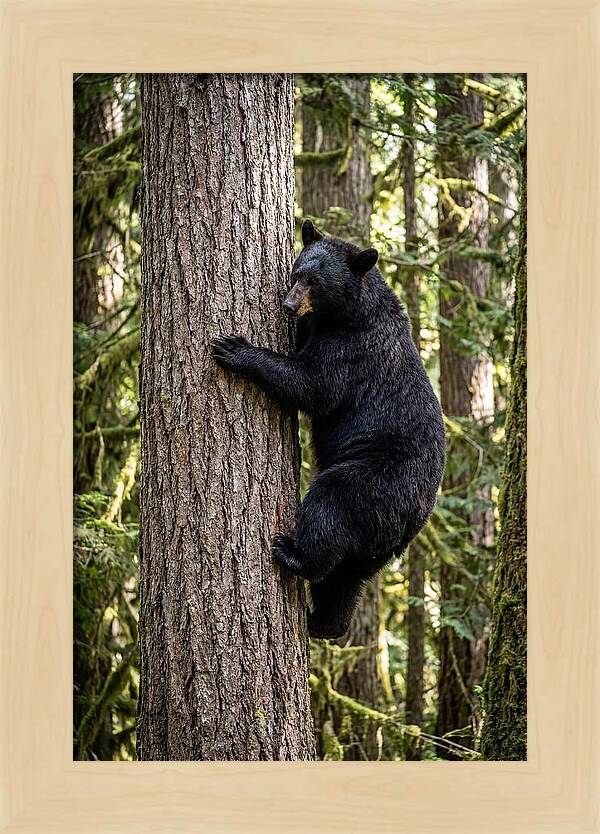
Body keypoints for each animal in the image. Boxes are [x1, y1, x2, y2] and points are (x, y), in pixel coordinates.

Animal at [212, 219, 445, 639]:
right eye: (296, 272)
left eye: (316, 283)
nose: (289, 304)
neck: (350, 312)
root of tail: (416, 518)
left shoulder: (352, 349)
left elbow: (313, 385)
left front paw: (235, 348)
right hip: (377, 543)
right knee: (347, 576)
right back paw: (325, 622)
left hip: (374, 481)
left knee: (330, 507)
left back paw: (293, 554)